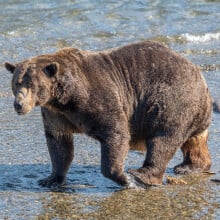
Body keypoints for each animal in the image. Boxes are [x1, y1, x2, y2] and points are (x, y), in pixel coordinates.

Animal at [4, 40, 211, 187]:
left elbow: (115, 131)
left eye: (31, 85)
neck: (62, 99)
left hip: (172, 98)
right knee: (194, 141)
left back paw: (142, 174)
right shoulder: (55, 115)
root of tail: (199, 74)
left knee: (162, 137)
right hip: (193, 111)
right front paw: (50, 178)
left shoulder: (93, 97)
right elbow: (59, 143)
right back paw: (190, 166)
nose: (19, 105)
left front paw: (124, 178)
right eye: (16, 83)